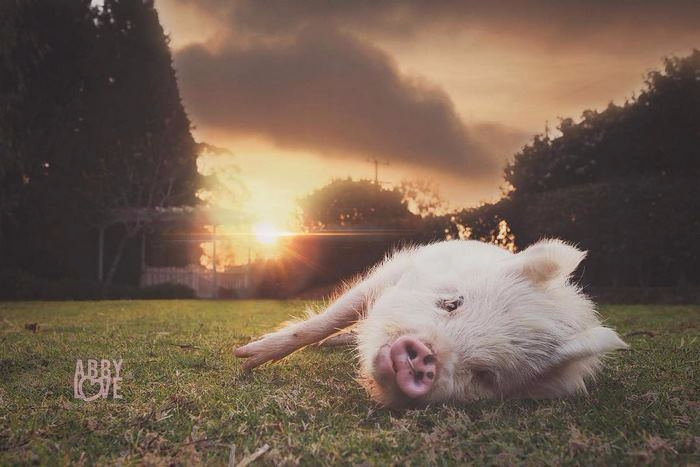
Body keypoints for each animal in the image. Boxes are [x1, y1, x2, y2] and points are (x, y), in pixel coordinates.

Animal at [232, 239, 628, 408]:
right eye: (451, 302)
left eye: (485, 375)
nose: (424, 355)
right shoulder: (393, 271)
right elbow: (334, 315)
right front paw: (246, 358)